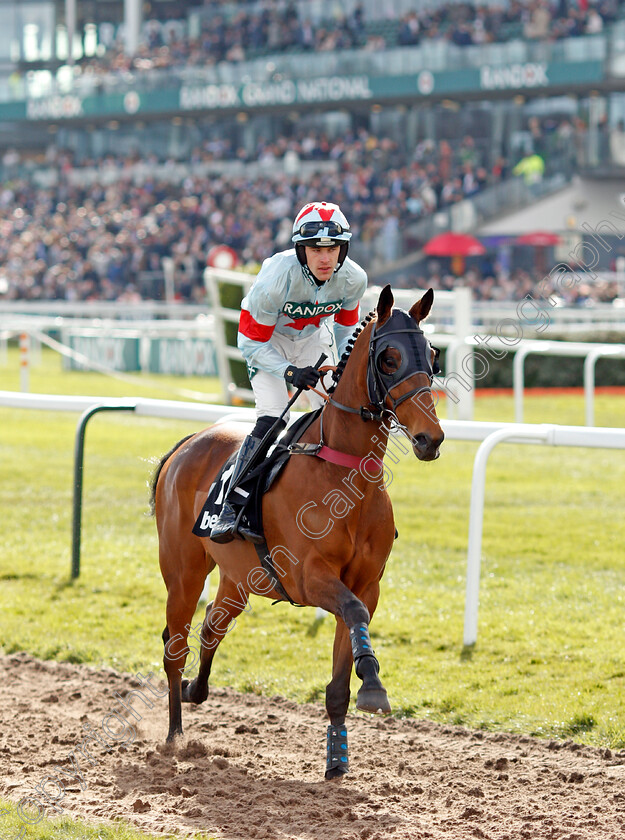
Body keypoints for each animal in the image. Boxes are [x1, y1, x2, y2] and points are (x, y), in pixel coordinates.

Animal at [151, 286, 444, 776]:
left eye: (433, 355)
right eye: (389, 359)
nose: (430, 438)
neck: (347, 479)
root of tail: (187, 442)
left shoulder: (365, 585)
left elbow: (344, 668)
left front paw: (338, 757)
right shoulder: (309, 577)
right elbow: (353, 615)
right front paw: (373, 684)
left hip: (238, 577)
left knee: (212, 626)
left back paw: (196, 690)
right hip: (183, 571)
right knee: (175, 645)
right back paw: (174, 736)